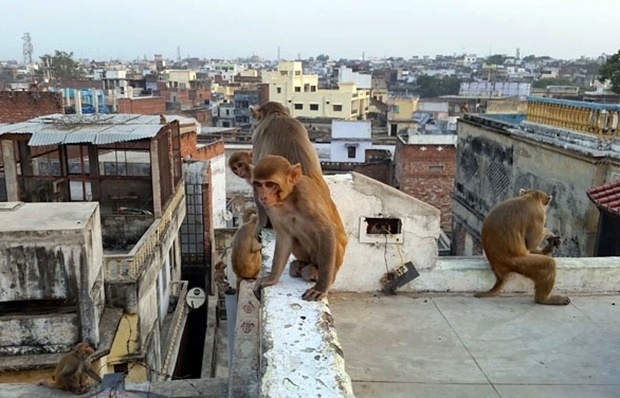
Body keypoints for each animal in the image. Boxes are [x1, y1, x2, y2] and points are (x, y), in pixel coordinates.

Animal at [252, 155, 348, 302]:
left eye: (269, 184)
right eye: (258, 184)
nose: (262, 196)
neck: (288, 198)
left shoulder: (306, 195)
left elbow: (326, 230)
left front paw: (320, 288)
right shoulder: (273, 208)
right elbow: (284, 236)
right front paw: (271, 279)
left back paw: (314, 271)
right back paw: (301, 264)